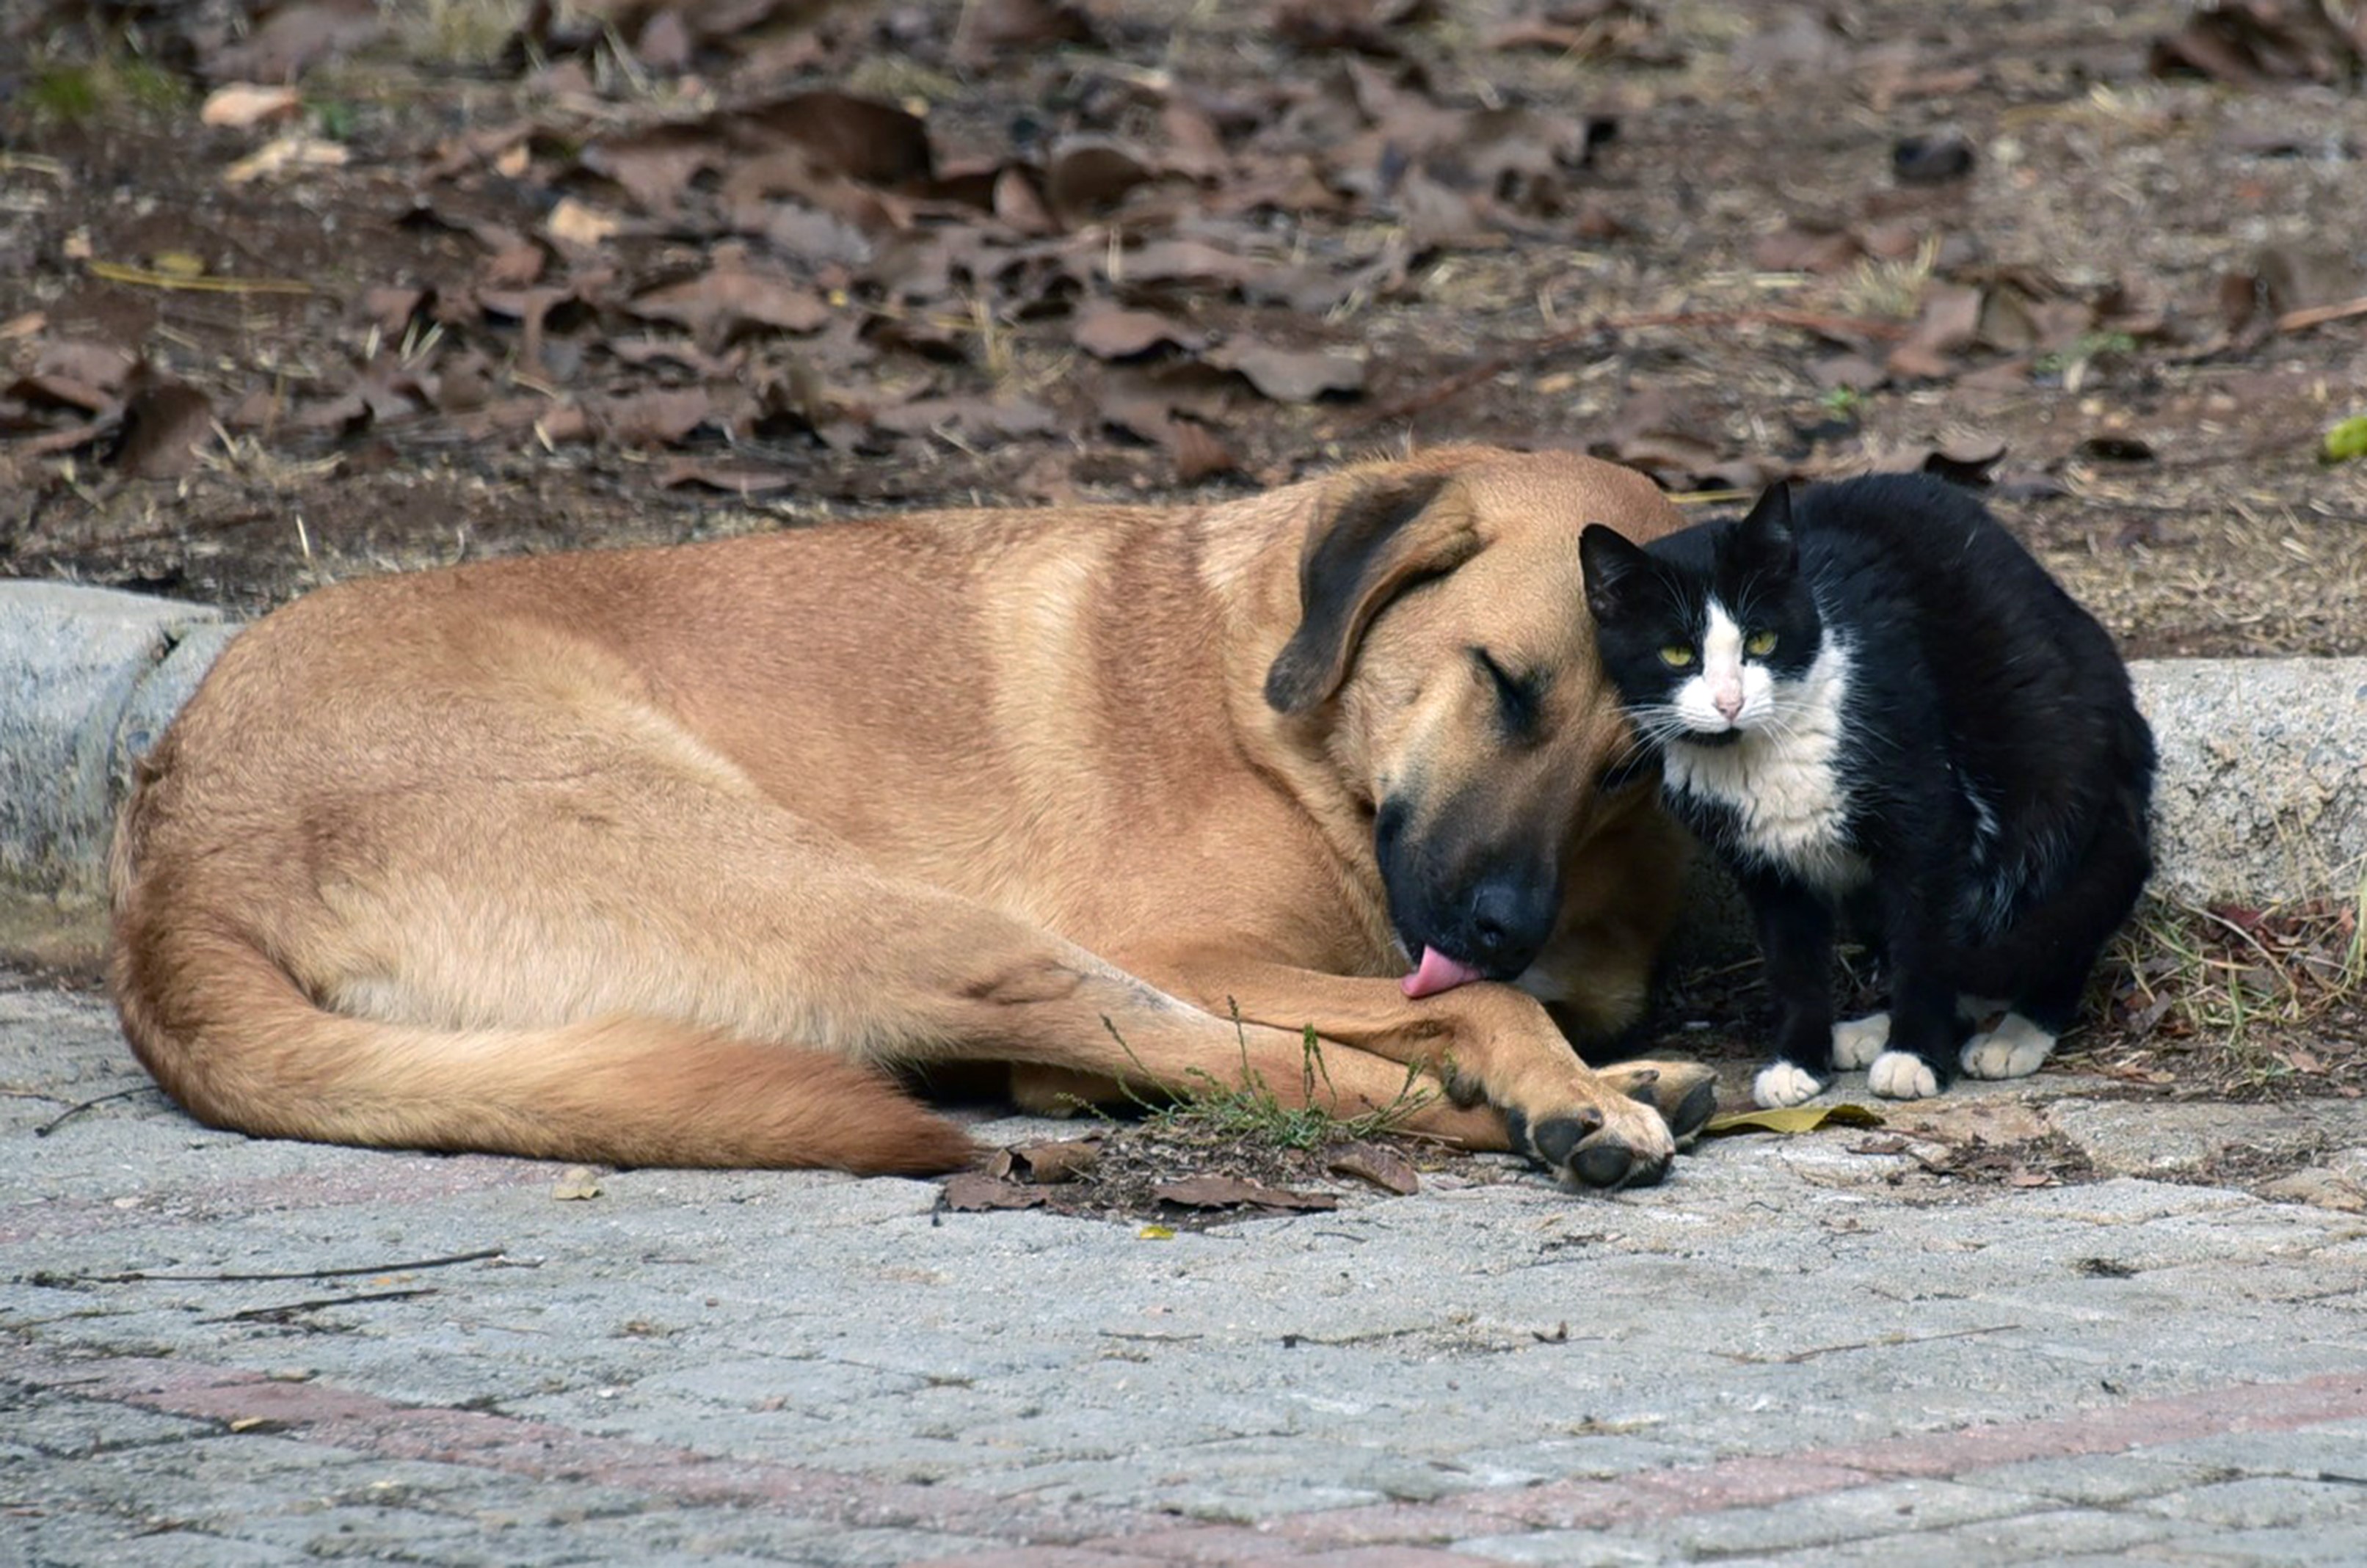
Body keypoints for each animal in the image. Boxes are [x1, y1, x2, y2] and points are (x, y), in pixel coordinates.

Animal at [111, 447, 1713, 1196]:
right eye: (1501, 681)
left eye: (1630, 767)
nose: (1499, 922)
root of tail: (173, 864)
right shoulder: (1191, 948)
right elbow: (1451, 1008)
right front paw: (1547, 1068)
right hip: (905, 916)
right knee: (1229, 1062)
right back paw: (1563, 1100)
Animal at [1581, 473, 2159, 1111]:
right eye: (1677, 653)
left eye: (1761, 639)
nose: (1730, 702)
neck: (1759, 753)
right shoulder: (1765, 863)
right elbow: (1794, 963)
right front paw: (1798, 1061)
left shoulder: (1928, 817)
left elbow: (1926, 945)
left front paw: (1915, 1056)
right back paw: (1867, 1031)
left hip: (2049, 775)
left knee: (2054, 920)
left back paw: (2016, 1034)